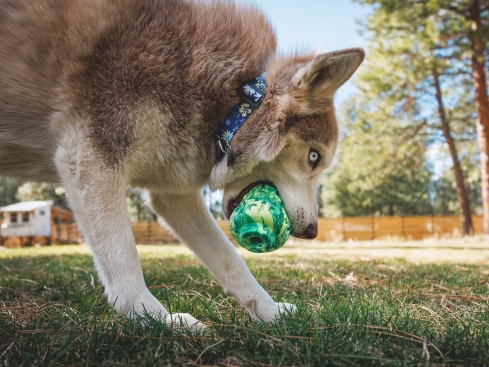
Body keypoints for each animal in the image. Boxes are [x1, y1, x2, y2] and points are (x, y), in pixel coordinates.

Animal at [0, 0, 362, 328]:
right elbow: (125, 266)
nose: (313, 231)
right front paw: (157, 319)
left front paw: (269, 312)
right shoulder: (90, 160)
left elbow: (231, 261)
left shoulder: (174, 197)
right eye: (314, 157)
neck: (235, 99)